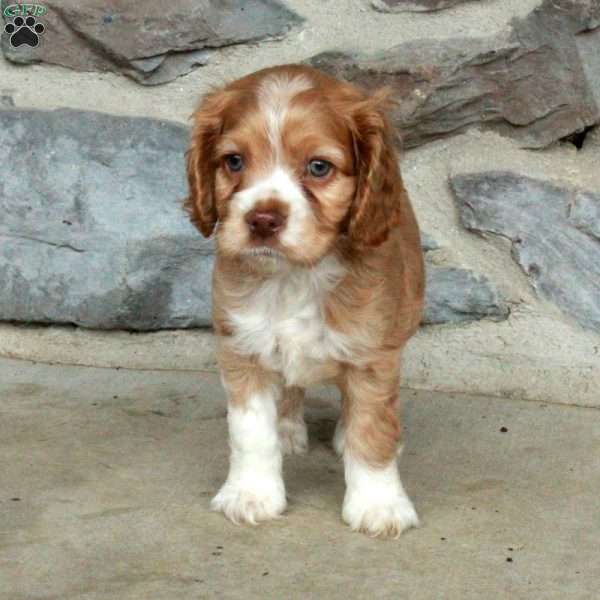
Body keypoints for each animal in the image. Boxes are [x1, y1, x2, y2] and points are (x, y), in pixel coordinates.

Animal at [185, 63, 424, 536]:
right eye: (234, 161)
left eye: (318, 167)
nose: (262, 219)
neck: (294, 276)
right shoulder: (243, 348)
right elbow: (250, 432)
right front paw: (251, 493)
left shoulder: (373, 355)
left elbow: (373, 429)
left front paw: (378, 504)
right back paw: (287, 426)